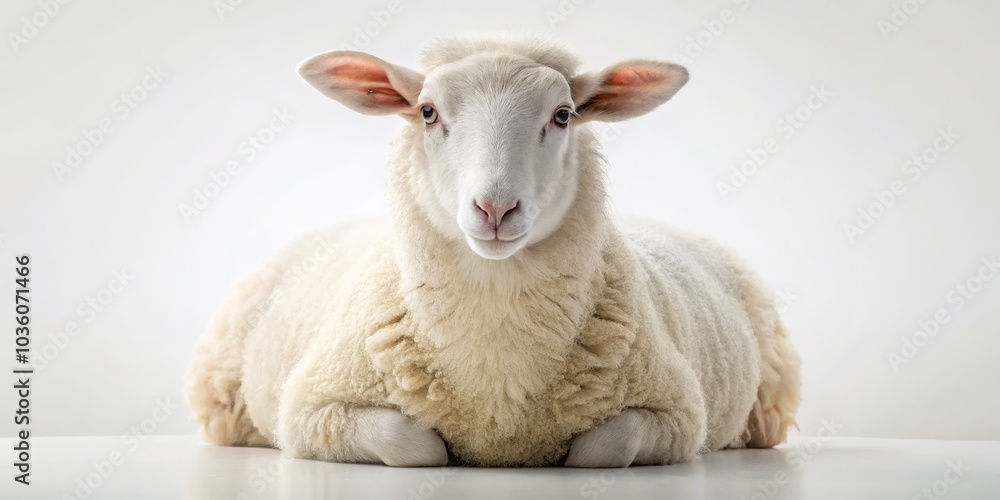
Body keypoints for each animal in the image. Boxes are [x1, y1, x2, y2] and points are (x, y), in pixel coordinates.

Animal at [184, 34, 801, 468]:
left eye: (563, 115)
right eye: (428, 112)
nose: (496, 209)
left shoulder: (677, 416)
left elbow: (600, 449)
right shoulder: (313, 409)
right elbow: (414, 445)